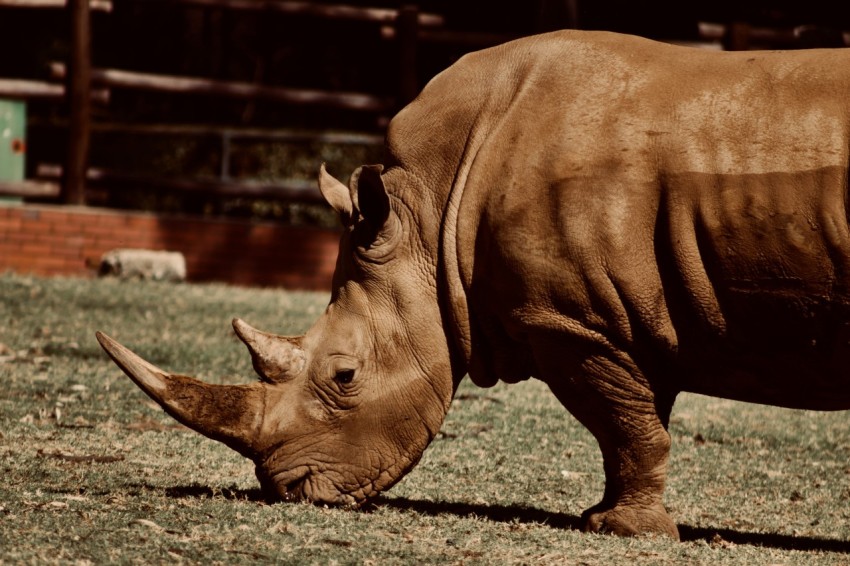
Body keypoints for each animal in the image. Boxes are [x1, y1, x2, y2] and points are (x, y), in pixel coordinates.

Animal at [96, 29, 850, 539]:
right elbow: (637, 424)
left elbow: (626, 426)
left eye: (344, 376)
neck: (429, 213)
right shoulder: (619, 315)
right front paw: (611, 516)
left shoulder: (569, 321)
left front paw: (624, 532)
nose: (291, 491)